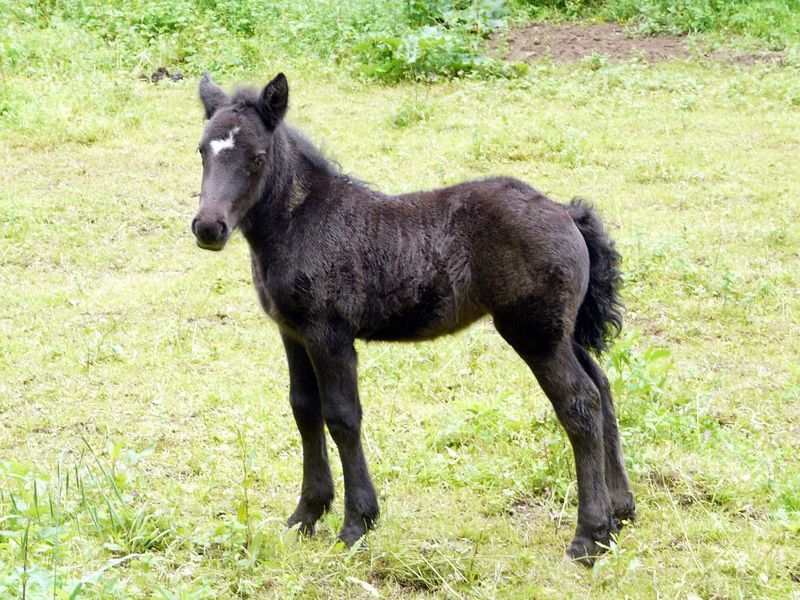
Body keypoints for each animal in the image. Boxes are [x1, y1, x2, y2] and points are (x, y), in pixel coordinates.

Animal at [191, 74, 636, 564]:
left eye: (258, 156)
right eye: (202, 150)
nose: (208, 228)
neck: (302, 219)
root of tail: (565, 212)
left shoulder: (330, 334)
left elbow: (342, 417)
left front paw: (356, 524)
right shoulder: (292, 332)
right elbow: (303, 410)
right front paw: (305, 515)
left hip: (535, 333)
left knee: (579, 402)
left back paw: (589, 535)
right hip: (562, 331)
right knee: (603, 390)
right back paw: (620, 514)